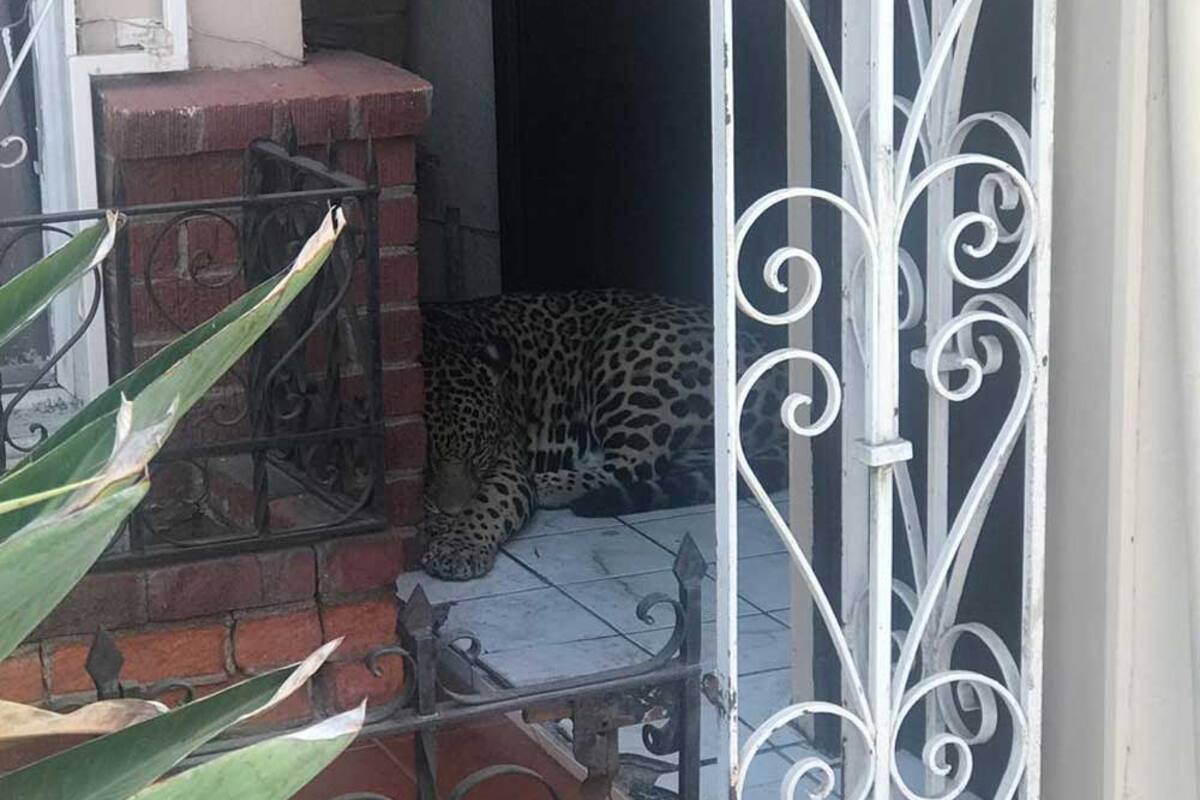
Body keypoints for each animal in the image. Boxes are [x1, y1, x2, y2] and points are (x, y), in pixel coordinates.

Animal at [420, 289, 788, 580]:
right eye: (428, 464)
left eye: (479, 452)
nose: (450, 513)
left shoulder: (508, 460)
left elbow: (490, 502)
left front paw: (459, 546)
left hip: (631, 360)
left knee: (636, 466)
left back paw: (548, 485)